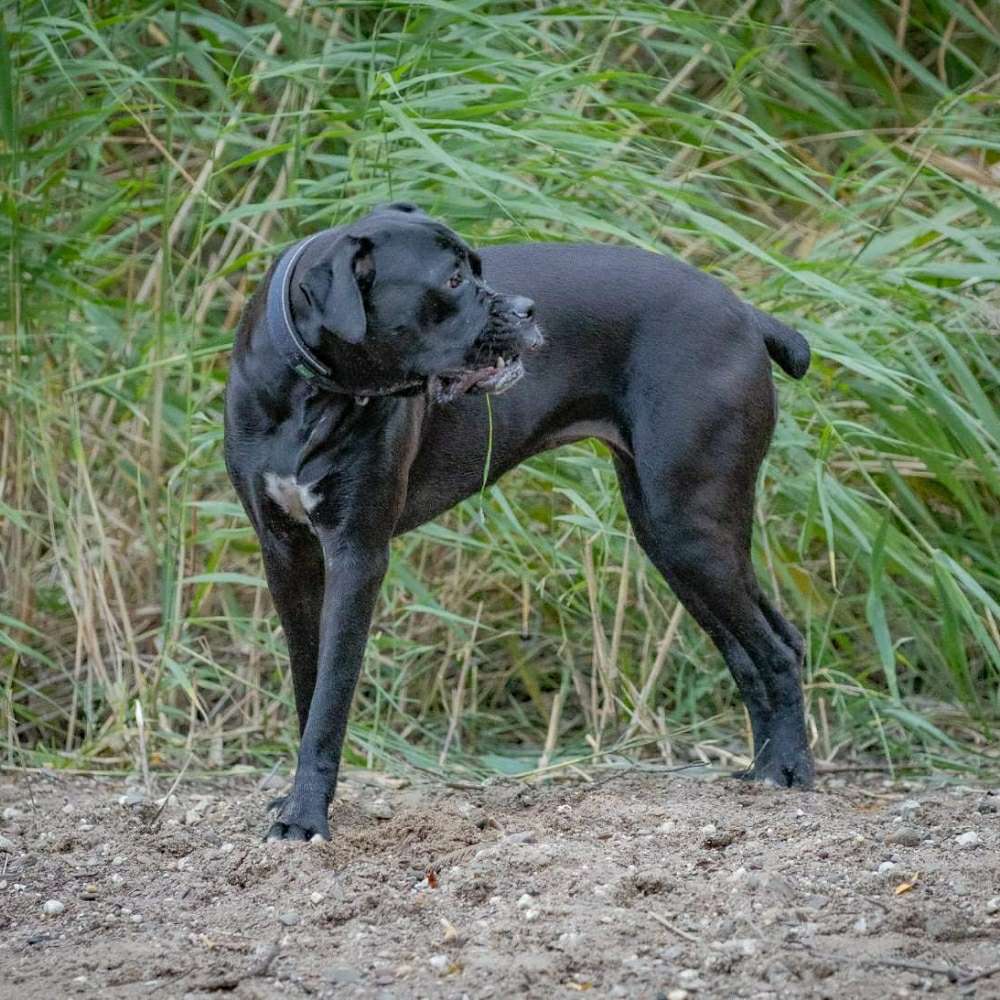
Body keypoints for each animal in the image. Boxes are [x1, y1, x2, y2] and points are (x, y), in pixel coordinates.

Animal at [225, 205, 812, 844]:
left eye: (476, 267)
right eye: (454, 280)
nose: (527, 309)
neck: (310, 391)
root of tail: (745, 312)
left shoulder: (357, 554)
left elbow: (332, 696)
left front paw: (305, 816)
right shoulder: (286, 556)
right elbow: (310, 686)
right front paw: (297, 800)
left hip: (692, 529)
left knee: (777, 649)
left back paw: (788, 773)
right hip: (672, 537)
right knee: (753, 650)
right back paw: (760, 769)